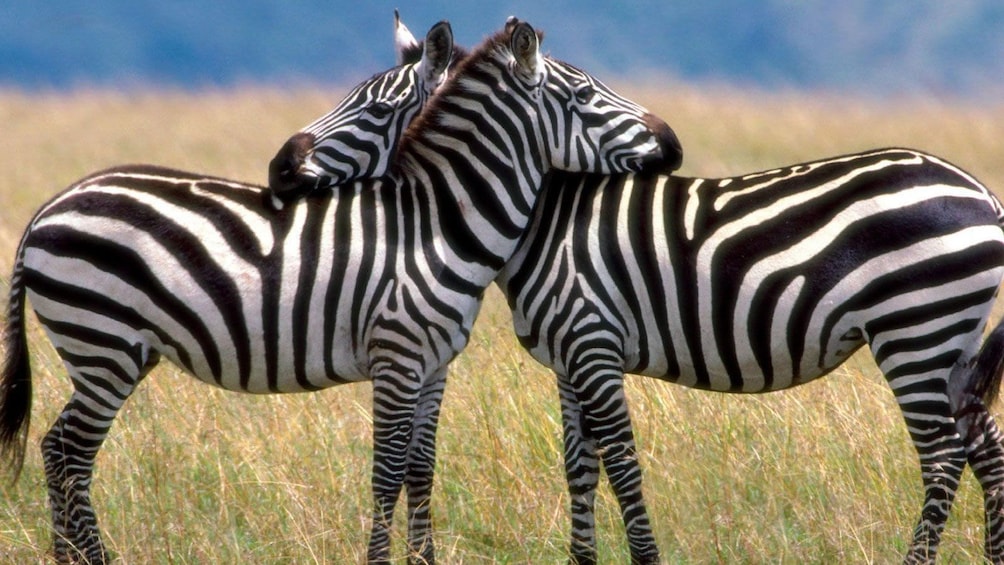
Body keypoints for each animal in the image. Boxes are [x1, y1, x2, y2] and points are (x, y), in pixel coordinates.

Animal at [0, 18, 682, 565]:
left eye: (372, 109)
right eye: (587, 95)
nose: (673, 143)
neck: (437, 223)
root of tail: (47, 208)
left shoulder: (435, 364)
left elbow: (419, 469)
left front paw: (424, 560)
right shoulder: (397, 356)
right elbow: (385, 472)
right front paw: (380, 561)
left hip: (119, 351)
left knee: (60, 451)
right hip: (102, 343)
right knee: (68, 453)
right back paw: (90, 559)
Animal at [271, 17, 1003, 565]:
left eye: (373, 108)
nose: (278, 168)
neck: (541, 219)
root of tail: (981, 192)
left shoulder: (594, 344)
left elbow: (622, 464)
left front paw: (645, 558)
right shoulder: (568, 358)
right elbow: (579, 467)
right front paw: (581, 559)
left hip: (915, 331)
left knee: (942, 459)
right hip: (953, 341)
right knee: (986, 449)